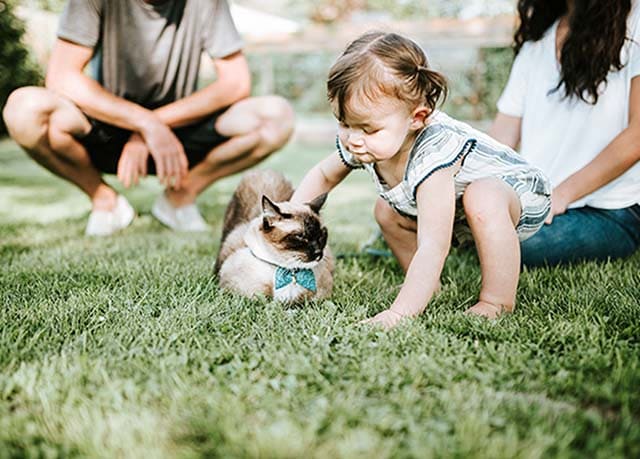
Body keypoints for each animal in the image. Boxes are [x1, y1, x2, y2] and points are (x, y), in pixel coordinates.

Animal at [215, 171, 336, 304]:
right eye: (300, 236)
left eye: (321, 235)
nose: (319, 252)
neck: (289, 271)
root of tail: (264, 171)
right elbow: (265, 299)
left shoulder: (321, 295)